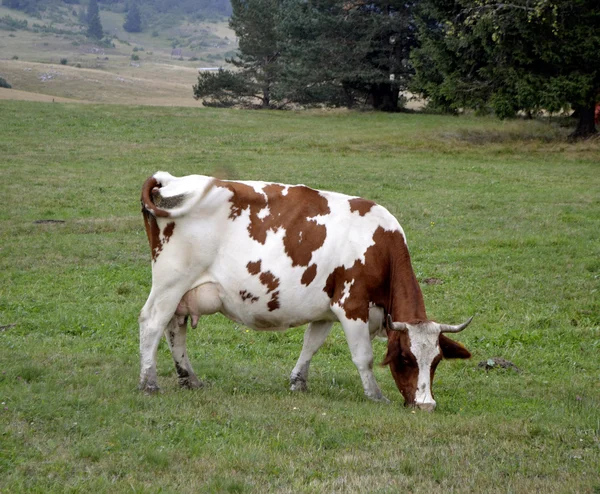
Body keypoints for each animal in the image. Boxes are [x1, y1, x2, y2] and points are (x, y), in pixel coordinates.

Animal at [138, 172, 472, 412]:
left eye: (436, 361)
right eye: (405, 359)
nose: (426, 406)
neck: (380, 245)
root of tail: (169, 180)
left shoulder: (325, 308)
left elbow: (311, 345)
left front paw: (298, 382)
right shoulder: (351, 305)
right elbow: (363, 356)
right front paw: (376, 395)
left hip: (183, 291)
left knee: (174, 328)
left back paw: (189, 379)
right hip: (171, 281)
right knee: (152, 323)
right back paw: (149, 382)